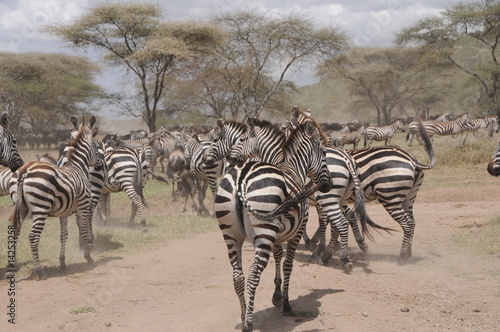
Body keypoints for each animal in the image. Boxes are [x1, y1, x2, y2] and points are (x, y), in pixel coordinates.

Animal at [8, 116, 99, 280]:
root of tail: (24, 171)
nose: (100, 164)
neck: (77, 167)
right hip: (40, 208)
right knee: (33, 237)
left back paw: (13, 267)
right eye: (96, 145)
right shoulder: (83, 206)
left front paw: (62, 263)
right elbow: (83, 230)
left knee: (15, 233)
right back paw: (40, 272)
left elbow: (64, 235)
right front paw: (88, 257)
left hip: (20, 208)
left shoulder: (64, 212)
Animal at [215, 118, 332, 330]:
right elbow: (287, 265)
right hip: (263, 233)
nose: (328, 185)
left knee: (238, 276)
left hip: (231, 235)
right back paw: (249, 323)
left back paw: (243, 315)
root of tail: (241, 177)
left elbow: (278, 256)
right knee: (253, 275)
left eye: (242, 139)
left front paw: (276, 296)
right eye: (324, 154)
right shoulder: (295, 232)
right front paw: (285, 304)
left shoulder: (278, 234)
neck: (292, 166)